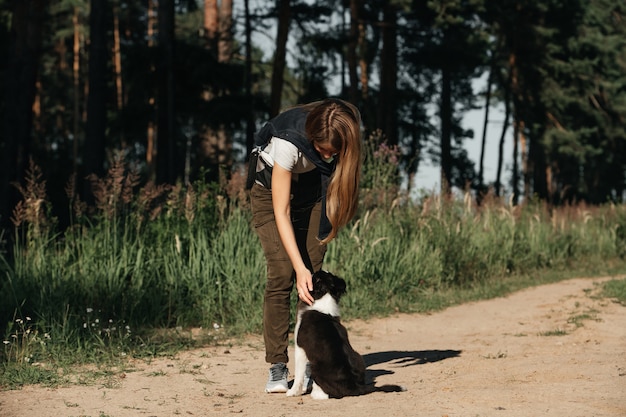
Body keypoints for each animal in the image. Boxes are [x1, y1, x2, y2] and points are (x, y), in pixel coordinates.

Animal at [286, 270, 404, 400]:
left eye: (315, 276)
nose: (310, 273)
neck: (325, 297)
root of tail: (356, 386)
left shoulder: (300, 349)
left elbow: (299, 374)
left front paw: (292, 392)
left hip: (315, 367)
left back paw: (316, 394)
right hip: (358, 357)